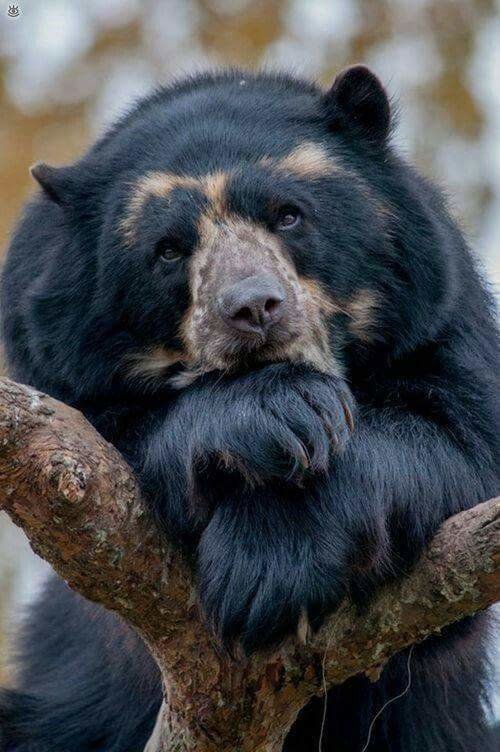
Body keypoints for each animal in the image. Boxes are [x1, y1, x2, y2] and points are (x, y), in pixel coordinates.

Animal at [0, 65, 498, 751]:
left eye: (289, 215)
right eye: (168, 249)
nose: (254, 308)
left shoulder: (441, 323)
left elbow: (458, 447)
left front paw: (263, 573)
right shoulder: (53, 363)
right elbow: (106, 453)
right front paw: (280, 411)